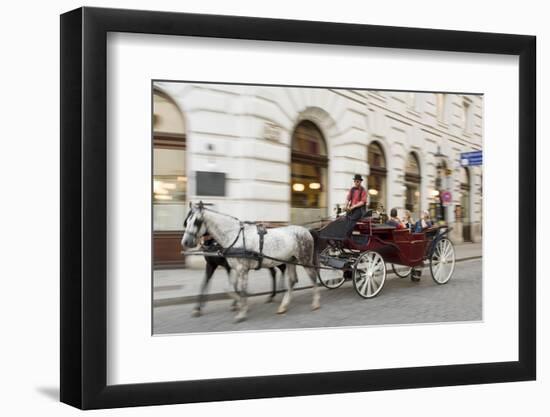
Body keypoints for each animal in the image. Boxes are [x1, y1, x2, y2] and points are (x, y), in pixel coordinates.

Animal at [182, 202, 320, 322]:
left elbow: (241, 290)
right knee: (292, 280)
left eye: (197, 221)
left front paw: (241, 313)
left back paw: (315, 303)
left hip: (304, 259)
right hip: (290, 260)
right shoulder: (235, 268)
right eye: (187, 221)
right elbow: (231, 288)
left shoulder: (242, 269)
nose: (185, 242)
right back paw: (283, 306)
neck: (234, 237)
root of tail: (307, 230)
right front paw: (242, 306)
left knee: (313, 276)